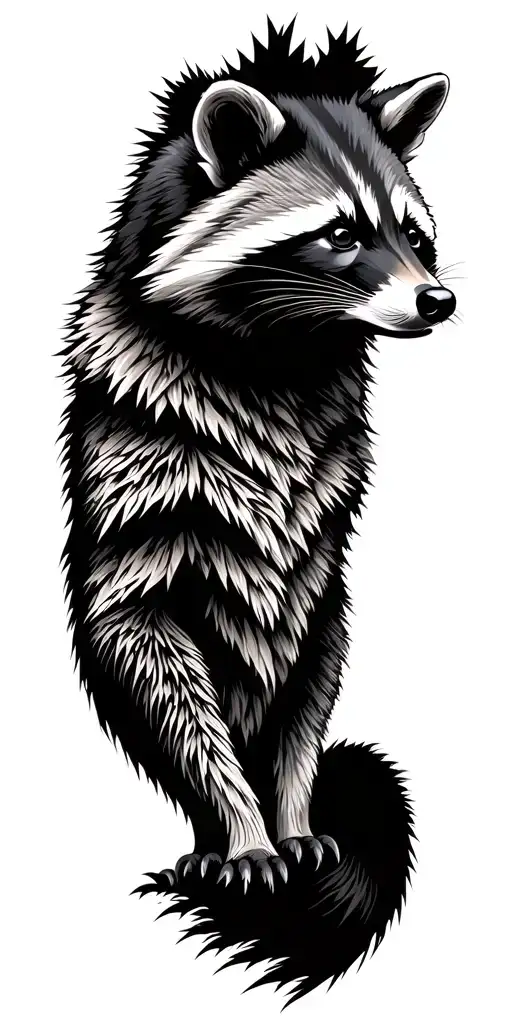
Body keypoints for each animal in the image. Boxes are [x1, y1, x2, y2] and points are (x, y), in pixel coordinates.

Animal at [61, 19, 455, 1004]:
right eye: (340, 233)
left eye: (415, 235)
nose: (440, 298)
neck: (281, 357)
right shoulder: (140, 485)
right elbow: (150, 661)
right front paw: (236, 820)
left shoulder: (328, 524)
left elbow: (311, 668)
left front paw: (286, 806)